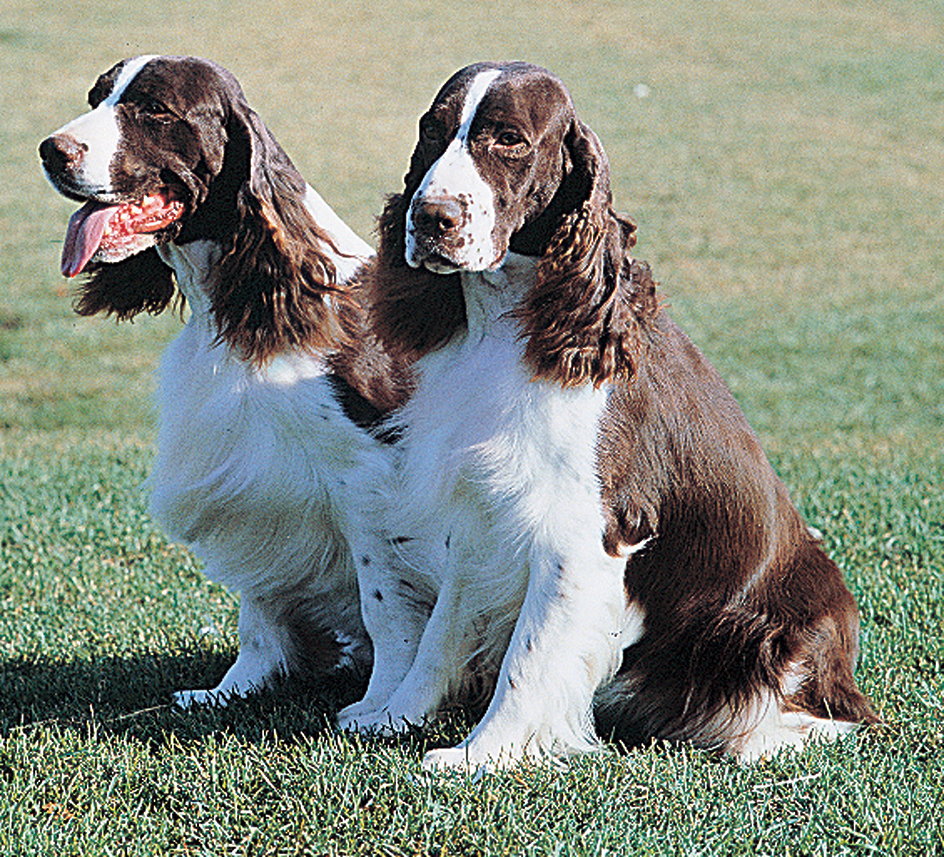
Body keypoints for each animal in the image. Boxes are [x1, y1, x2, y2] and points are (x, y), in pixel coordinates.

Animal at [39, 55, 410, 708]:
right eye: (96, 96)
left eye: (154, 108)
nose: (51, 151)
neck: (241, 305)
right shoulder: (251, 484)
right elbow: (259, 606)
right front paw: (234, 689)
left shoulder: (368, 481)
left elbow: (385, 604)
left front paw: (381, 708)